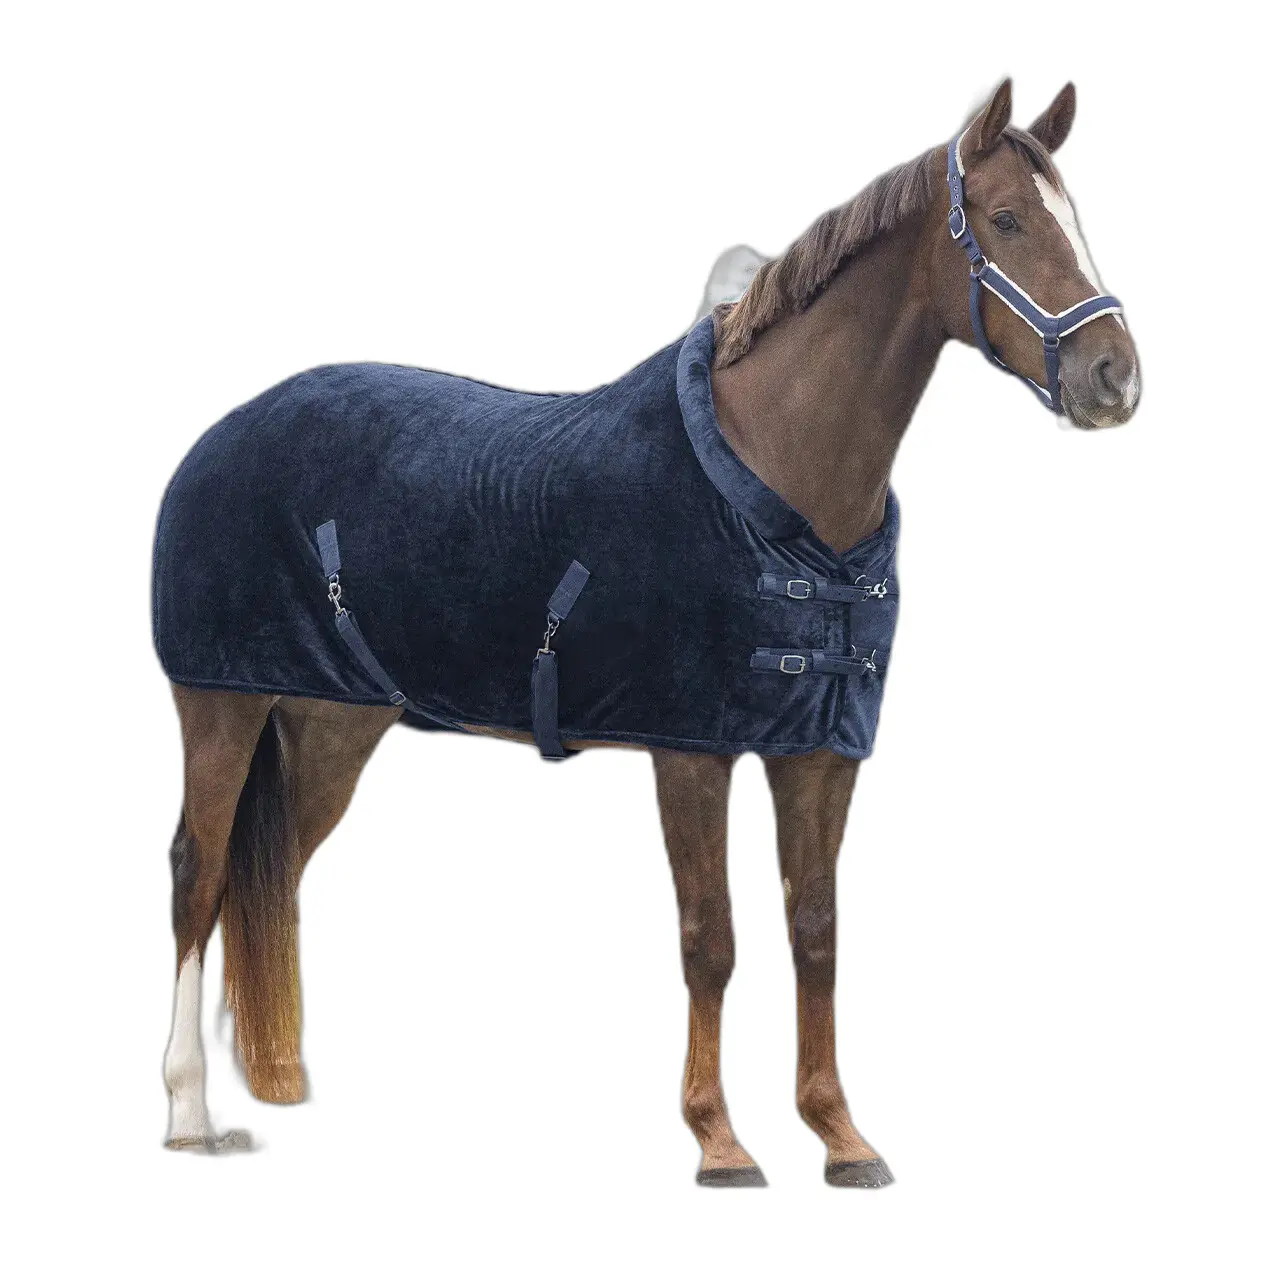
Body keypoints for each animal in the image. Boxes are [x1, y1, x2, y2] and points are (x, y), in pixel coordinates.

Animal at [156, 79, 1140, 1186]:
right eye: (1007, 221)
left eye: (1073, 218)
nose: (1115, 377)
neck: (776, 478)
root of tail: (224, 434)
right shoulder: (690, 749)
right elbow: (710, 939)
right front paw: (719, 1141)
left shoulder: (819, 754)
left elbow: (816, 932)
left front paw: (841, 1137)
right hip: (221, 704)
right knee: (200, 876)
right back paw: (191, 1109)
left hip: (331, 726)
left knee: (274, 874)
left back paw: (273, 1078)